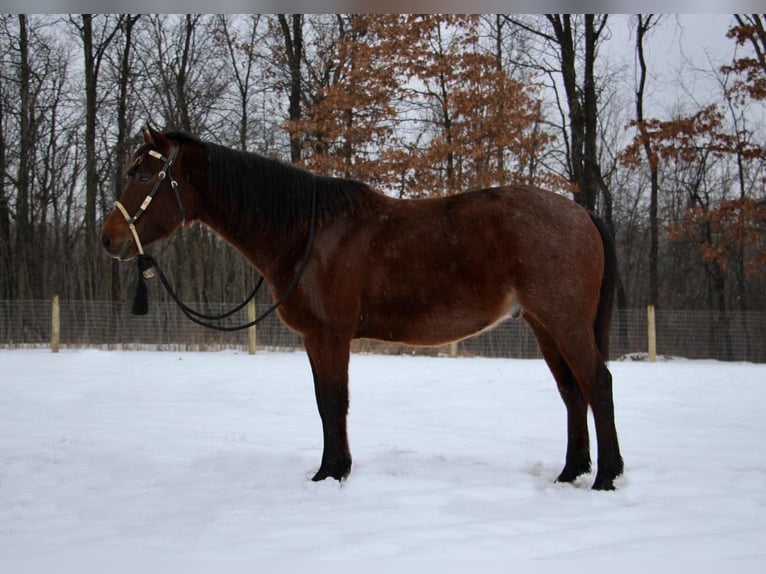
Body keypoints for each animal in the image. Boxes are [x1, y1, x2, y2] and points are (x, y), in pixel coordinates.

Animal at [100, 128, 624, 492]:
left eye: (143, 175)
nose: (109, 239)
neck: (308, 232)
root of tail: (581, 213)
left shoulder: (330, 334)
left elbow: (334, 402)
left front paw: (331, 475)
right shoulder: (316, 339)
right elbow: (325, 402)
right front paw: (334, 468)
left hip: (566, 324)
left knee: (596, 385)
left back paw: (607, 478)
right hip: (544, 325)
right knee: (572, 392)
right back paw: (571, 472)